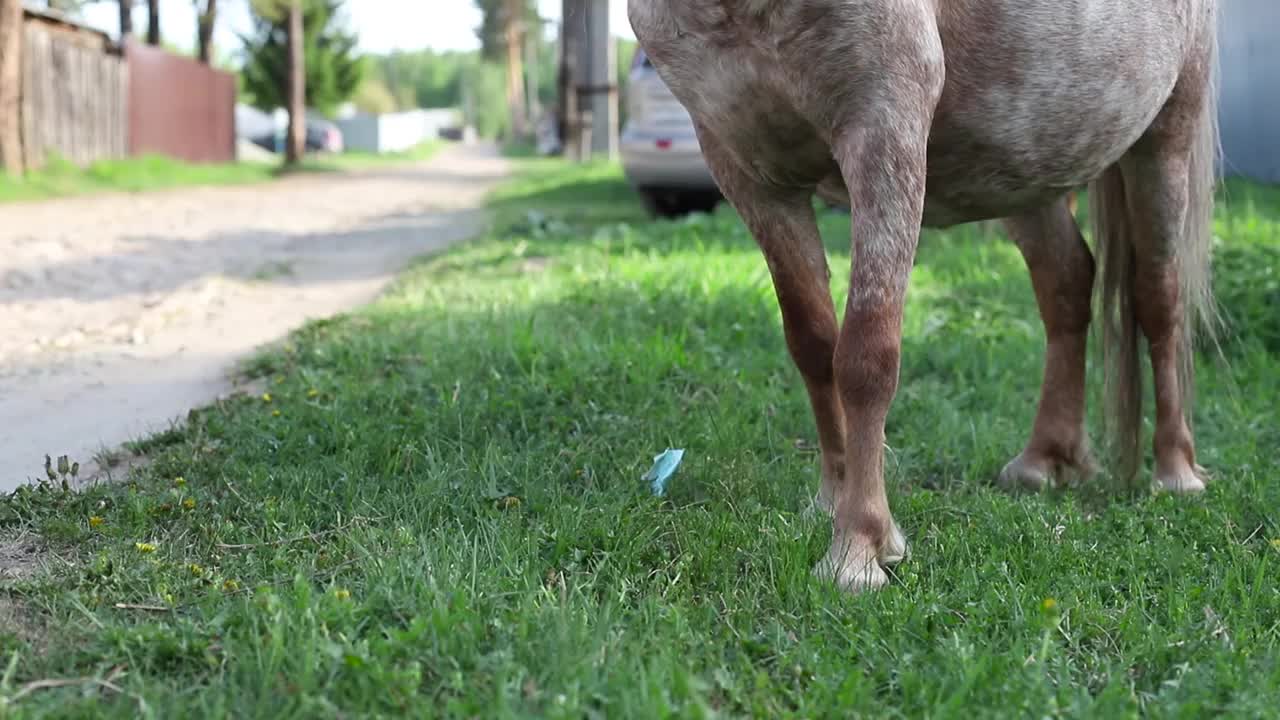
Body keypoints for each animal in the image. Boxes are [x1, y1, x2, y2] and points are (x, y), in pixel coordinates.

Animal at [627, 1, 1218, 589]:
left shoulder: (885, 130)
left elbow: (866, 355)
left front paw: (858, 549)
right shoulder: (749, 171)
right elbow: (813, 343)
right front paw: (835, 501)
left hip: (1165, 137)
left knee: (1158, 300)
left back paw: (1175, 473)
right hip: (1033, 167)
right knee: (1067, 285)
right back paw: (1044, 461)